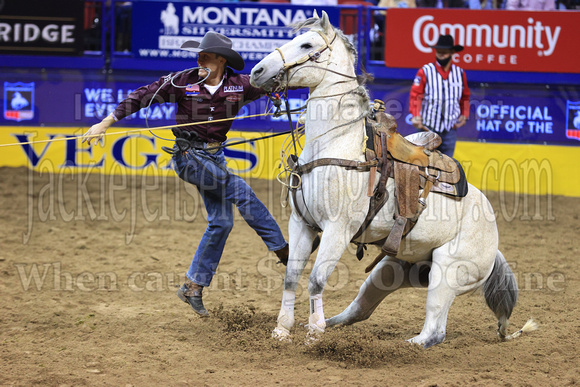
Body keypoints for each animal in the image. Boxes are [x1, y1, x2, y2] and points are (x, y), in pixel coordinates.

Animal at [249, 12, 536, 348]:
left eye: (307, 44)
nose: (257, 71)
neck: (337, 145)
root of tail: (494, 244)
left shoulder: (337, 229)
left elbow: (317, 279)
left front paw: (313, 334)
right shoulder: (302, 224)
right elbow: (292, 276)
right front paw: (283, 330)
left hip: (447, 272)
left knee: (435, 329)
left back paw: (404, 346)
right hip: (393, 271)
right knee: (360, 309)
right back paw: (332, 324)